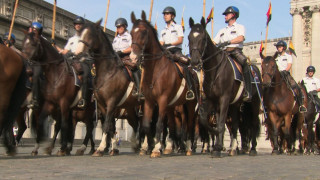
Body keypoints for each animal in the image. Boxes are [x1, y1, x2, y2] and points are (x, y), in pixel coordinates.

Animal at [75, 19, 141, 156]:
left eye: (89, 35)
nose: (78, 53)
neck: (107, 72)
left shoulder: (111, 103)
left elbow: (106, 126)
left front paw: (100, 148)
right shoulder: (101, 105)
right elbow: (109, 126)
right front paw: (110, 148)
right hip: (131, 110)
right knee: (136, 124)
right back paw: (135, 144)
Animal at [130, 11, 198, 158]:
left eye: (143, 32)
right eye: (131, 33)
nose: (132, 57)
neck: (156, 68)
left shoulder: (162, 100)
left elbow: (159, 125)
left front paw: (155, 149)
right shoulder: (149, 101)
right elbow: (146, 125)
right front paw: (148, 146)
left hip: (190, 104)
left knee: (189, 125)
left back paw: (188, 148)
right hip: (172, 106)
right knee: (173, 127)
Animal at [189, 17, 262, 157]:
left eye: (203, 38)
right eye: (189, 37)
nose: (195, 61)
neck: (214, 71)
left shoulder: (224, 99)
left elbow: (221, 123)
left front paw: (217, 147)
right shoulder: (213, 100)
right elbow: (206, 120)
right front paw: (217, 145)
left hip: (254, 103)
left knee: (253, 124)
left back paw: (253, 149)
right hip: (235, 104)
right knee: (235, 125)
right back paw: (233, 148)